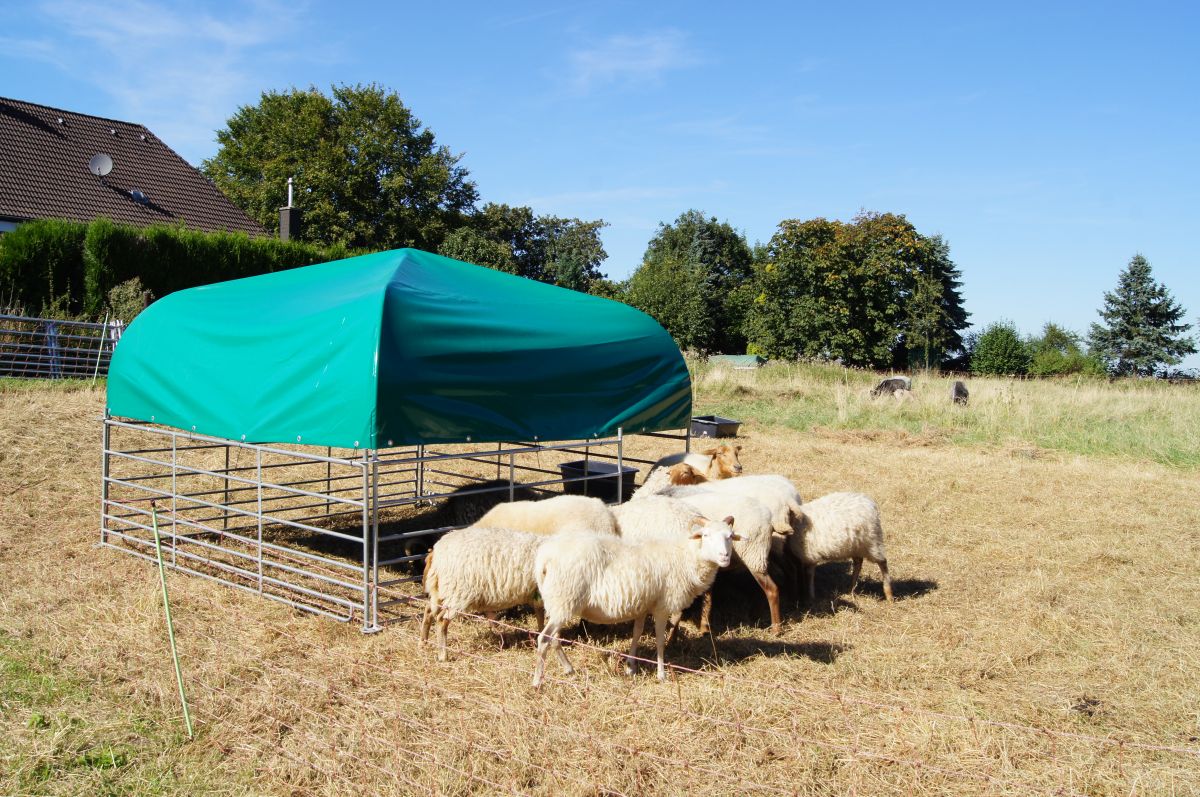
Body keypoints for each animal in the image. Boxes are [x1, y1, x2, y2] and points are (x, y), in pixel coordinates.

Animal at [419, 525, 546, 662]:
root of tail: (436, 552)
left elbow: (540, 617)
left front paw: (541, 636)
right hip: (458, 593)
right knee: (442, 619)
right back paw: (443, 655)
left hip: (440, 590)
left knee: (428, 611)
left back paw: (423, 643)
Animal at [531, 516, 738, 686]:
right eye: (705, 535)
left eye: (730, 536)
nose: (725, 557)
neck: (686, 556)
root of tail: (544, 559)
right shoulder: (662, 606)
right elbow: (660, 640)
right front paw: (661, 674)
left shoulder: (643, 606)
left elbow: (637, 633)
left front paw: (631, 667)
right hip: (565, 599)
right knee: (544, 638)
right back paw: (537, 681)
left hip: (557, 602)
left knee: (554, 639)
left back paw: (569, 669)